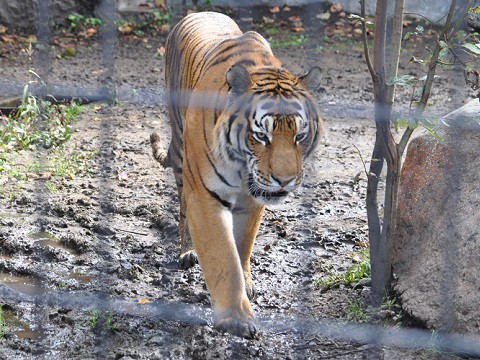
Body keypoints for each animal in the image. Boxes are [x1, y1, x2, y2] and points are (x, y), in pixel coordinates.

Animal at [149, 10, 322, 338]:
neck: (244, 167)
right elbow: (223, 257)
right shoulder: (205, 196)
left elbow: (242, 245)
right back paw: (187, 251)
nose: (285, 180)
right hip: (182, 155)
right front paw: (236, 318)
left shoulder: (251, 200)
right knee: (182, 207)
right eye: (262, 136)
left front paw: (247, 282)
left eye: (299, 136)